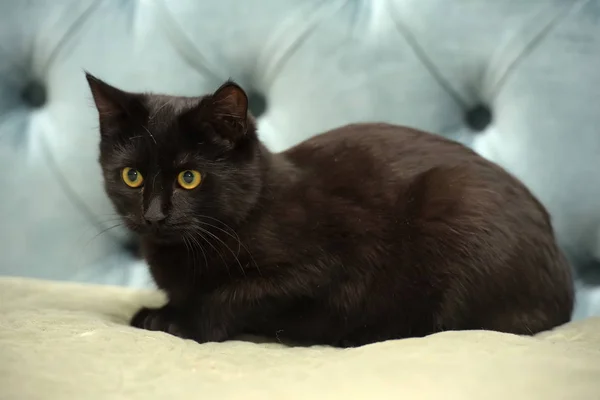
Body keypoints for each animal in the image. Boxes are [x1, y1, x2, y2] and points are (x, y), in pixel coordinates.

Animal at [86, 72, 576, 346]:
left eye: (189, 177)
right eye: (132, 176)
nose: (153, 215)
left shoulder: (321, 267)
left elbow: (233, 294)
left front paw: (181, 323)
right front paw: (161, 311)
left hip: (457, 202)